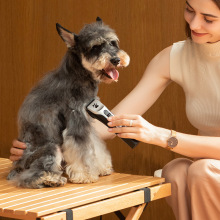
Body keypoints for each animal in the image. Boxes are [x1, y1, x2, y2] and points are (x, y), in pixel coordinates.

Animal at [7, 17, 130, 189]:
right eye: (95, 47)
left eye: (113, 43)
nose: (116, 60)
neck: (78, 75)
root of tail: (16, 167)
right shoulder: (76, 121)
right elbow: (82, 151)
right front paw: (85, 175)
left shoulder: (87, 120)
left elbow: (95, 145)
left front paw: (102, 167)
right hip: (51, 148)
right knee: (31, 175)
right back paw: (51, 179)